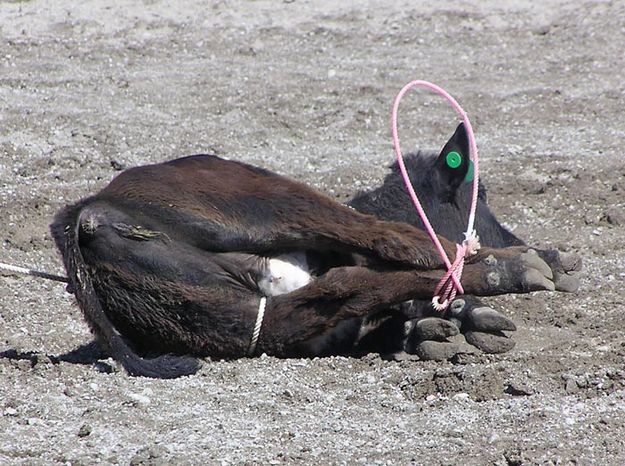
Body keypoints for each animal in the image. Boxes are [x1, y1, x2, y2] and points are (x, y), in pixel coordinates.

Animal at [52, 124, 580, 378]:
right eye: (480, 193)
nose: (509, 237)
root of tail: (85, 211)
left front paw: (442, 327)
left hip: (229, 314)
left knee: (329, 295)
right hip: (264, 199)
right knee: (381, 243)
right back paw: (523, 267)